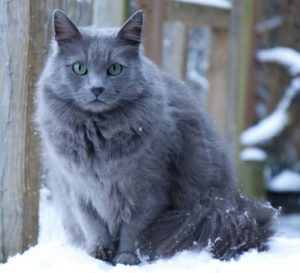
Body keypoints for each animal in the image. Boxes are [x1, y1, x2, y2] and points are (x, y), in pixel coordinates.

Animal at [35, 10, 276, 264]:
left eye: (114, 69)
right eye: (79, 68)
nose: (97, 89)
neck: (99, 139)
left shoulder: (147, 192)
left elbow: (132, 231)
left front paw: (126, 258)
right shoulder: (77, 188)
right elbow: (93, 225)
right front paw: (99, 253)